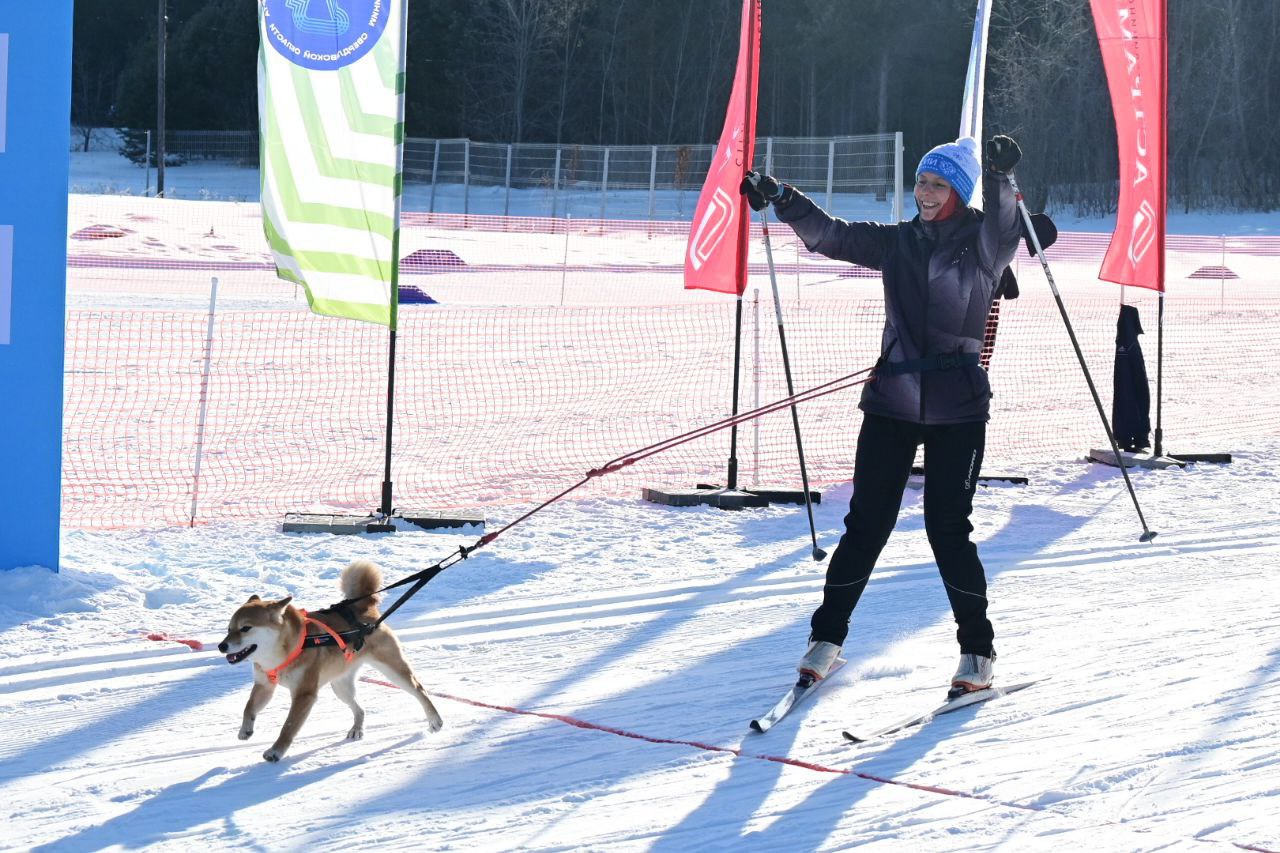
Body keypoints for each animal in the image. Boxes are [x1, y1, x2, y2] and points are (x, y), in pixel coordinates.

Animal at [217, 555, 442, 758]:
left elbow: (288, 726)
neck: (284, 651)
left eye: (245, 628)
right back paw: (357, 729)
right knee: (360, 709)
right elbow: (248, 707)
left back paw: (435, 720)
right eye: (229, 629)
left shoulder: (304, 694)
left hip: (393, 670)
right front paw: (245, 729)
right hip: (340, 686)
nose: (221, 646)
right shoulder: (265, 685)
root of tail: (364, 608)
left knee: (419, 690)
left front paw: (276, 751)